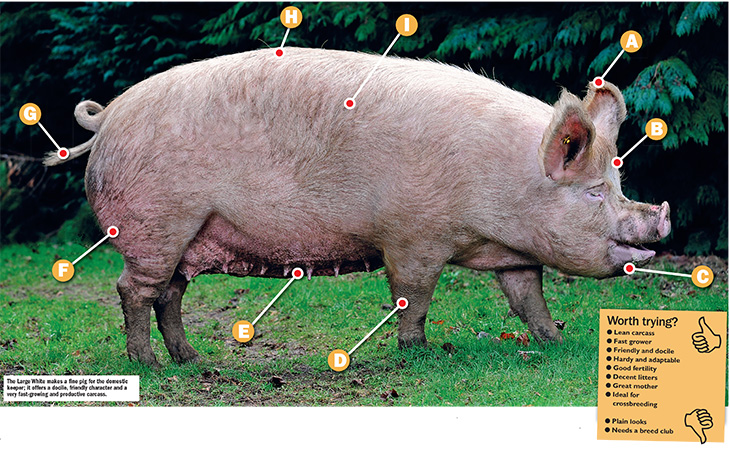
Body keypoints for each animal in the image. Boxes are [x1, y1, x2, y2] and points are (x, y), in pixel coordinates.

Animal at [44, 48, 670, 367]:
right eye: (594, 193)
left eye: (617, 184)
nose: (661, 215)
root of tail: (107, 119)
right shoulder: (413, 236)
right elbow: (414, 296)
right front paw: (419, 354)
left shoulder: (514, 253)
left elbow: (528, 299)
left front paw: (557, 343)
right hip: (157, 222)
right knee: (134, 290)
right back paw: (148, 366)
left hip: (187, 234)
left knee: (169, 293)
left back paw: (190, 359)